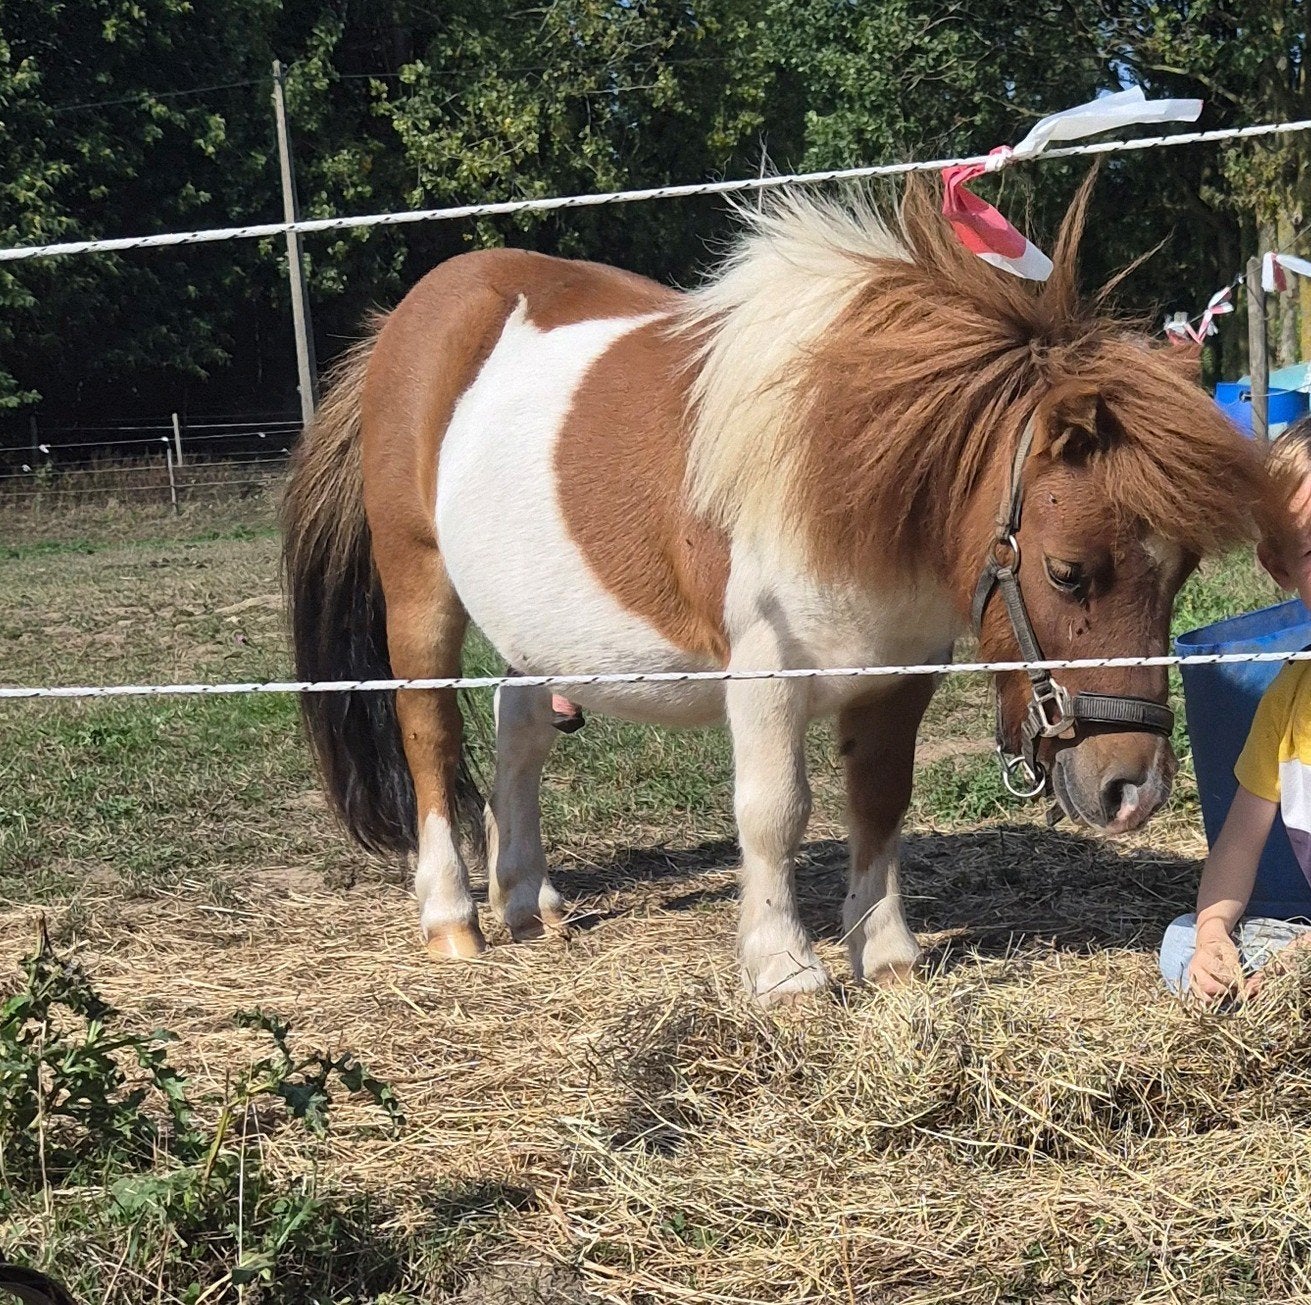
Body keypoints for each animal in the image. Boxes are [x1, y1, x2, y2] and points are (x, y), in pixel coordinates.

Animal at [282, 177, 1268, 1005]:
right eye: (1066, 570)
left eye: (1179, 572)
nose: (1133, 791)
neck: (833, 458)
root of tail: (413, 315)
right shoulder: (763, 671)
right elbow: (773, 811)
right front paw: (783, 967)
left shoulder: (897, 673)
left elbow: (879, 799)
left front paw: (886, 955)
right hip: (420, 586)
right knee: (428, 731)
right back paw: (453, 916)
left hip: (535, 620)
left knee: (518, 732)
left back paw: (528, 898)